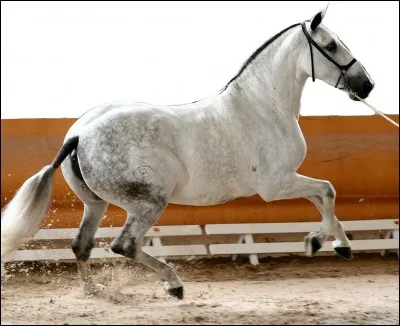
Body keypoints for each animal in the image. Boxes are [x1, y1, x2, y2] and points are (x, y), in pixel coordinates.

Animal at [0, 7, 376, 300]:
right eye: (331, 45)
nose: (367, 85)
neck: (264, 106)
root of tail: (78, 134)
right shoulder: (277, 185)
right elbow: (327, 190)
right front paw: (323, 243)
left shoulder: (287, 181)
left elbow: (322, 197)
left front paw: (334, 244)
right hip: (148, 202)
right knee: (125, 245)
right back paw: (174, 284)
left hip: (96, 204)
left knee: (82, 244)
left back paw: (94, 292)